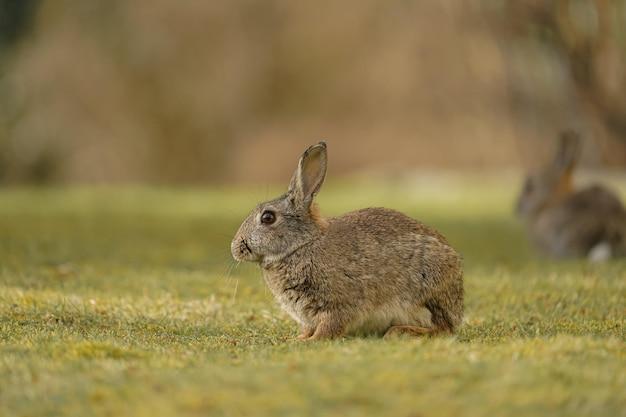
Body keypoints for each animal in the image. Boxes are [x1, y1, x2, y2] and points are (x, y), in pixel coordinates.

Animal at [229, 141, 458, 340]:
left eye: (267, 217)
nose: (235, 248)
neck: (301, 244)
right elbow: (308, 328)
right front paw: (299, 338)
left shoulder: (338, 302)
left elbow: (330, 325)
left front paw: (310, 341)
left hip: (425, 293)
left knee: (443, 329)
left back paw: (399, 331)